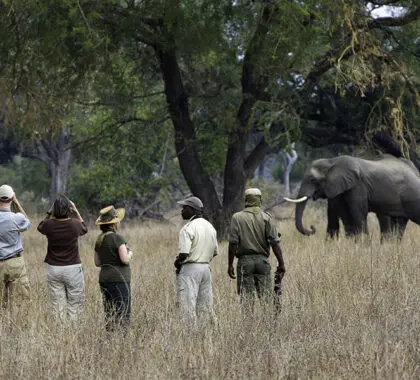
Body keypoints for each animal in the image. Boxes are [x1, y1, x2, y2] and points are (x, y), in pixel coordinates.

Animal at [286, 153, 420, 239]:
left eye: (313, 180)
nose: (312, 227)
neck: (332, 161)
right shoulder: (339, 189)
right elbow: (344, 216)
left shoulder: (357, 186)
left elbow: (358, 213)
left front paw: (365, 246)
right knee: (399, 223)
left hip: (413, 194)